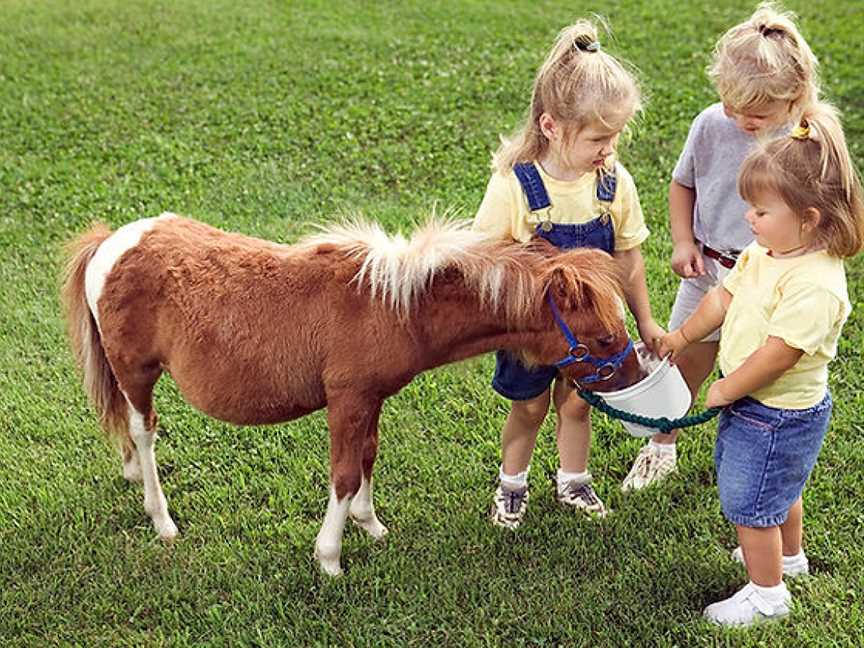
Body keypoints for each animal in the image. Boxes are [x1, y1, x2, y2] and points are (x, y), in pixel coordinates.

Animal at [62, 215, 640, 576]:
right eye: (603, 338)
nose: (636, 380)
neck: (391, 305)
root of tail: (113, 242)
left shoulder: (371, 399)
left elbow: (367, 457)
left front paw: (371, 525)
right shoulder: (346, 400)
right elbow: (342, 474)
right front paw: (330, 557)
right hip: (137, 373)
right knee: (144, 431)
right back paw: (162, 519)